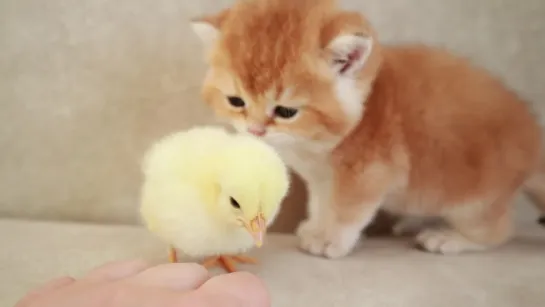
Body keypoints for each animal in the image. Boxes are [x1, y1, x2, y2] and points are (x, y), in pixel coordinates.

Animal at [188, 0, 544, 258]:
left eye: (286, 111)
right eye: (236, 101)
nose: (255, 130)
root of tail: (533, 134)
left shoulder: (368, 174)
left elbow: (347, 210)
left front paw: (331, 240)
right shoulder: (322, 179)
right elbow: (322, 203)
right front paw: (315, 227)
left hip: (474, 198)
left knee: (498, 231)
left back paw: (449, 238)